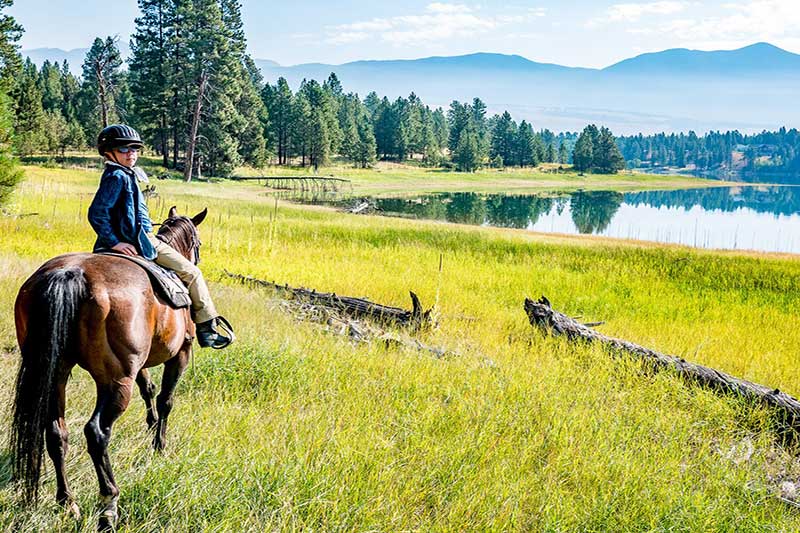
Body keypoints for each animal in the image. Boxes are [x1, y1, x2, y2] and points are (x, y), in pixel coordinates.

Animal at [11, 207, 208, 528]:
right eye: (198, 242)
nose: (197, 259)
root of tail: (70, 274)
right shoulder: (181, 353)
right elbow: (166, 400)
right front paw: (160, 445)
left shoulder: (140, 362)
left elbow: (148, 388)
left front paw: (151, 426)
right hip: (116, 382)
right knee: (97, 433)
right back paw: (109, 506)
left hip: (56, 373)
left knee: (56, 433)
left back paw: (68, 502)